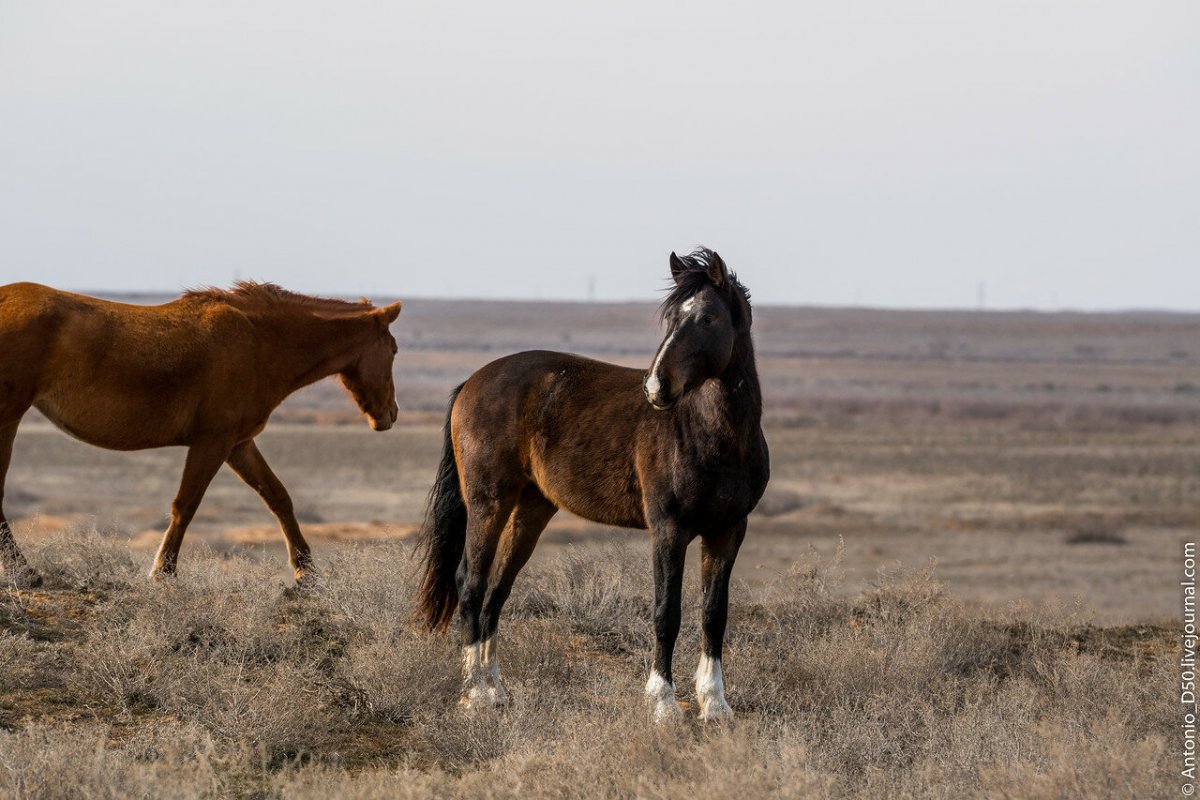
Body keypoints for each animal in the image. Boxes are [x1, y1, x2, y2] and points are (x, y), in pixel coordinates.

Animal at [0, 281, 403, 587]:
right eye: (395, 349)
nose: (391, 415)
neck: (261, 340)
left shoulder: (239, 444)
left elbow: (279, 498)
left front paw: (307, 572)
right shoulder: (213, 442)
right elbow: (186, 505)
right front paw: (162, 572)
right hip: (8, 418)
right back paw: (25, 570)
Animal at [412, 247, 768, 724]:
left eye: (707, 318)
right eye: (671, 318)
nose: (656, 387)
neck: (713, 435)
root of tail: (473, 382)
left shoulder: (728, 531)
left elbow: (714, 614)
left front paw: (715, 705)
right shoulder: (669, 530)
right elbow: (666, 613)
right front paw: (663, 704)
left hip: (531, 509)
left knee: (496, 592)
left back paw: (497, 691)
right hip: (488, 502)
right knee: (470, 583)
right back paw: (474, 695)